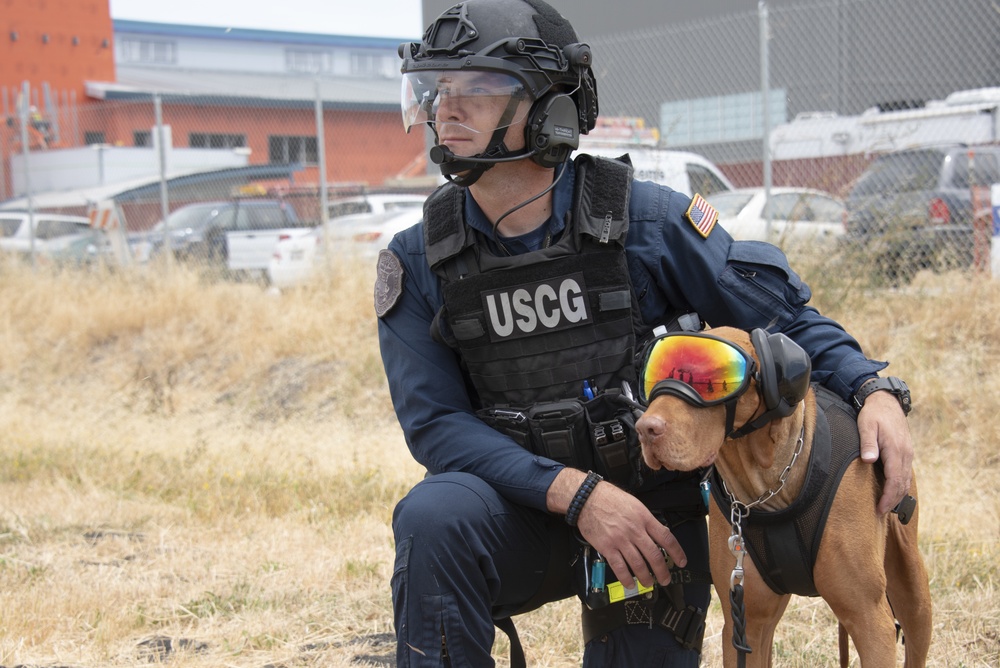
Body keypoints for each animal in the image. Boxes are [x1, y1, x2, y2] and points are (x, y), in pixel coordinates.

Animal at [636, 326, 932, 664]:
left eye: (710, 380)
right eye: (653, 375)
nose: (645, 428)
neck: (768, 487)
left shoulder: (870, 620)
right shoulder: (746, 623)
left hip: (913, 590)